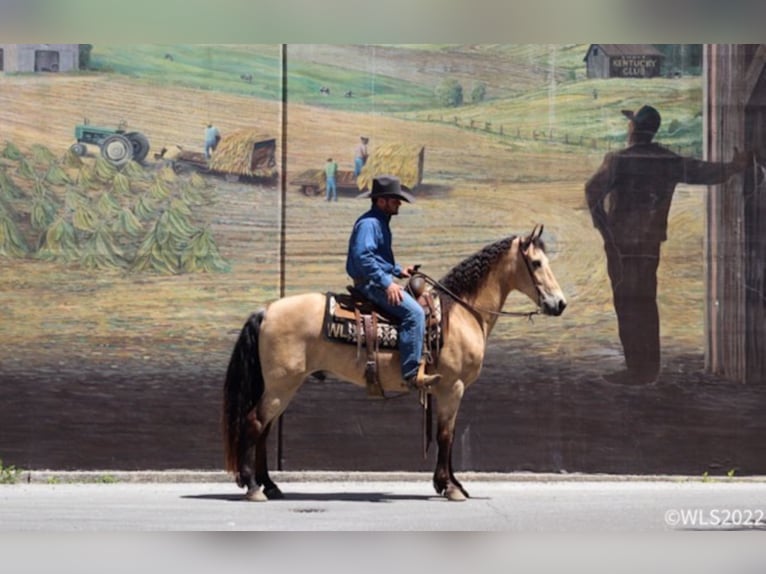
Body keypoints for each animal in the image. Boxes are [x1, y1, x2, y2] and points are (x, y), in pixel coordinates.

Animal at [222, 225, 564, 504]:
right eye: (536, 263)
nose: (559, 304)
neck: (462, 312)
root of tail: (266, 311)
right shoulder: (452, 388)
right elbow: (446, 435)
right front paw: (450, 488)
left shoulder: (447, 391)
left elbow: (449, 434)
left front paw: (451, 484)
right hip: (281, 386)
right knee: (254, 424)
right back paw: (253, 487)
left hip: (279, 387)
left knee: (264, 430)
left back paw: (270, 485)